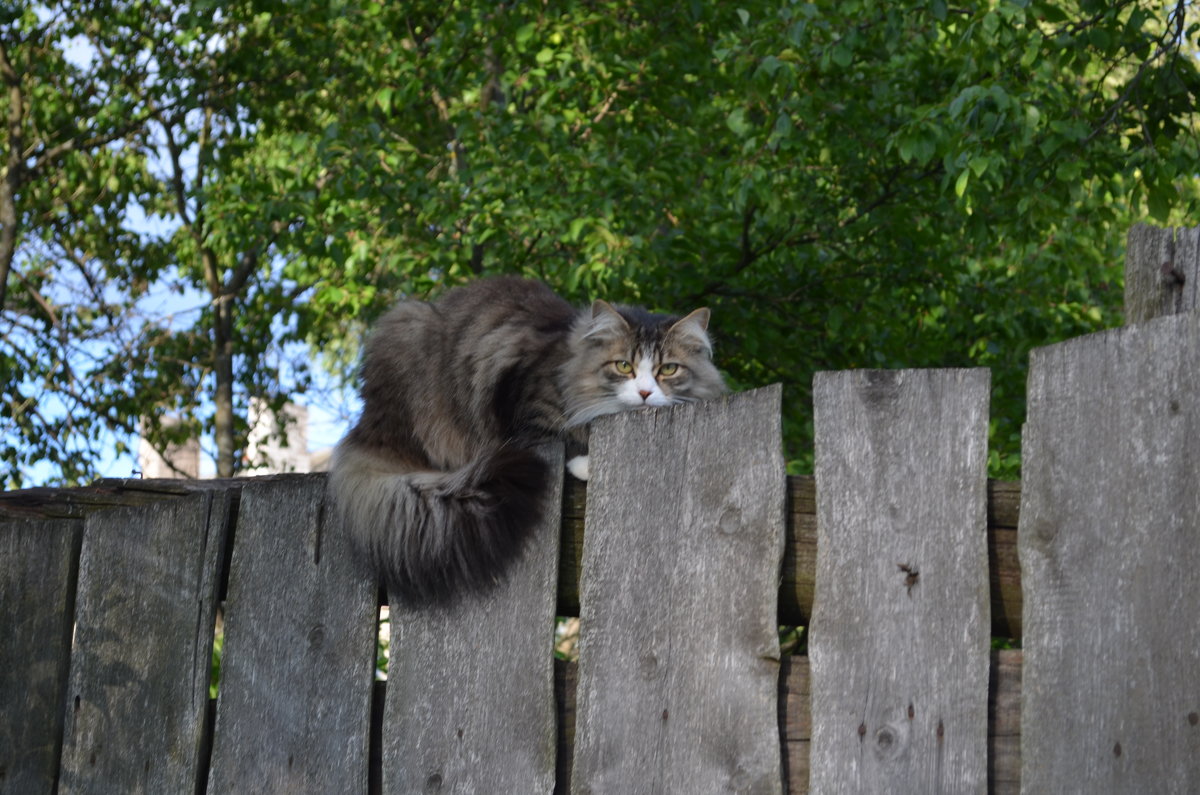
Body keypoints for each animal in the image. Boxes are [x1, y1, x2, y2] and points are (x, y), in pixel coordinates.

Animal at [324, 277, 724, 607]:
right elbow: (559, 437)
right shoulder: (526, 410)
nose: (644, 393)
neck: (570, 363)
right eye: (623, 366)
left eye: (667, 370)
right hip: (407, 332)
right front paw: (585, 461)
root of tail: (369, 425)